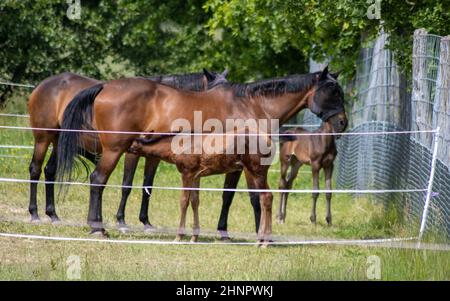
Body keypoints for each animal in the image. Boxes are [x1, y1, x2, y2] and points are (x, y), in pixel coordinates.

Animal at [26, 69, 227, 226]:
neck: (163, 103)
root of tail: (42, 85)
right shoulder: (132, 154)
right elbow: (127, 184)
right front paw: (121, 219)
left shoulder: (153, 157)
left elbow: (148, 186)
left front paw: (145, 221)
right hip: (43, 139)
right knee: (35, 169)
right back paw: (34, 213)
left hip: (59, 142)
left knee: (50, 171)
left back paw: (52, 214)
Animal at [126, 130, 274, 243]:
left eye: (133, 142)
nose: (126, 150)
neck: (177, 145)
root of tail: (269, 141)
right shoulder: (196, 176)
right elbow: (195, 201)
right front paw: (194, 237)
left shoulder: (187, 172)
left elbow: (184, 201)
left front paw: (179, 236)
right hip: (260, 172)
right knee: (267, 197)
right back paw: (263, 240)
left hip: (256, 170)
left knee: (266, 196)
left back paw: (263, 242)